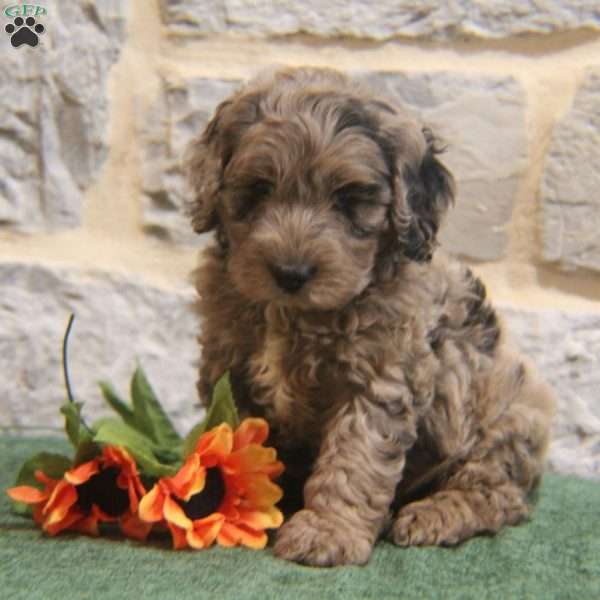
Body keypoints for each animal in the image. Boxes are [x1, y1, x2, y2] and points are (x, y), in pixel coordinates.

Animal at [185, 67, 556, 568]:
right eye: (259, 188)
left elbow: (354, 460)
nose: (290, 273)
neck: (294, 314)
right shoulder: (230, 370)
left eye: (348, 199)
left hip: (504, 420)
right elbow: (237, 444)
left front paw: (327, 531)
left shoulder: (380, 381)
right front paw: (234, 505)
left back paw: (435, 515)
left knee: (496, 493)